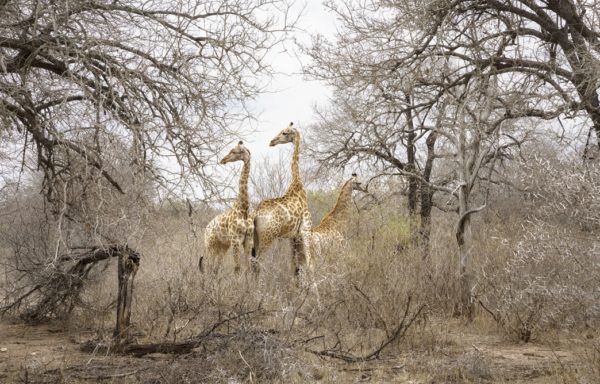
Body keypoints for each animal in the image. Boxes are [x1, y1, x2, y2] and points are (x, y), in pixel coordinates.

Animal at [199, 141, 251, 272]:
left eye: (234, 151)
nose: (223, 160)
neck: (244, 208)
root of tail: (206, 228)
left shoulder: (248, 241)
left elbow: (248, 268)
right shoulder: (235, 240)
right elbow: (237, 268)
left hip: (222, 246)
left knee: (215, 269)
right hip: (210, 245)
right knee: (208, 266)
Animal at [251, 121, 312, 274]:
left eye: (284, 132)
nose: (272, 142)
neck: (297, 184)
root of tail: (255, 214)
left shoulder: (293, 235)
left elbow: (294, 266)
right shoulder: (305, 229)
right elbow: (309, 264)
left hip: (255, 237)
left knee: (252, 262)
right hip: (267, 237)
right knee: (258, 261)